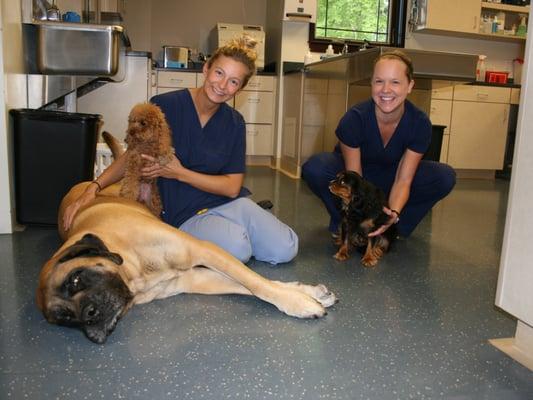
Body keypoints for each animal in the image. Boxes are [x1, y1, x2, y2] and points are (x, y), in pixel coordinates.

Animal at [36, 172, 336, 344]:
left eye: (75, 279)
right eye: (65, 318)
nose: (89, 317)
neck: (134, 269)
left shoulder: (203, 249)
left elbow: (257, 283)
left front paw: (299, 302)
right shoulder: (194, 278)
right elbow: (252, 286)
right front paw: (306, 294)